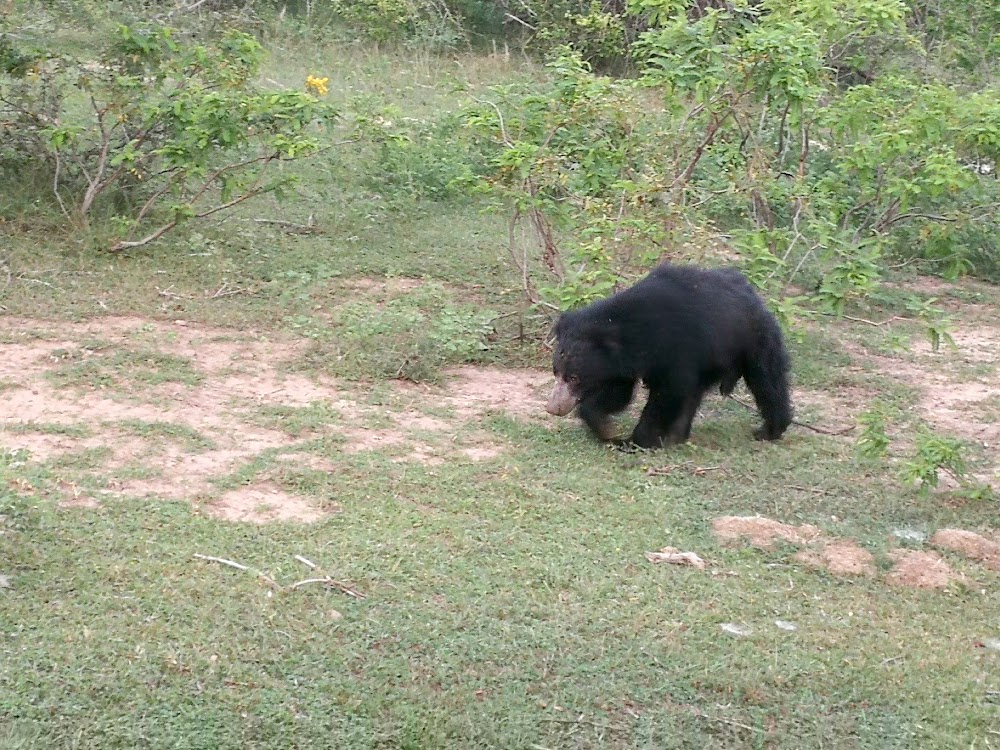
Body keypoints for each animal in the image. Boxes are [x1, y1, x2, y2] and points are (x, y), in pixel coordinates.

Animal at [548, 264, 788, 450]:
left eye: (574, 378)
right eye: (556, 373)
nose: (553, 408)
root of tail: (755, 297)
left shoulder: (678, 349)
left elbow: (669, 391)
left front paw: (636, 440)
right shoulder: (620, 365)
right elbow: (618, 395)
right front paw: (606, 428)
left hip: (755, 340)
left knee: (767, 381)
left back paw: (770, 430)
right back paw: (677, 435)